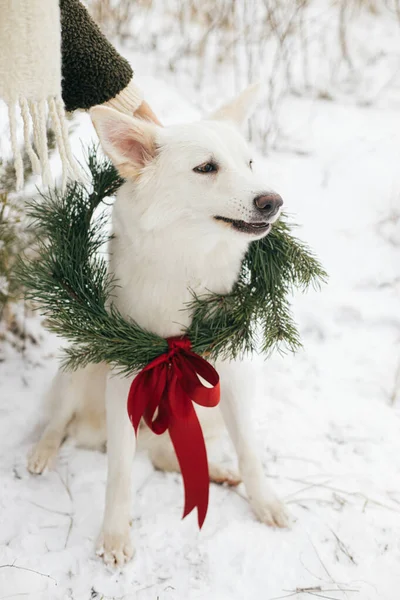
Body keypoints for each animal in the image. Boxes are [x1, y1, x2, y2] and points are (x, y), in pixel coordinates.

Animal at [28, 85, 290, 568]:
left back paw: (217, 472)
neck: (188, 263)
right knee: (58, 421)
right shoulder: (125, 381)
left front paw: (265, 502)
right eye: (206, 167)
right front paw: (114, 535)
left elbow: (249, 451)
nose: (272, 202)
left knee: (167, 457)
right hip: (79, 368)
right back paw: (41, 453)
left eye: (249, 163)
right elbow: (119, 473)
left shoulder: (233, 374)